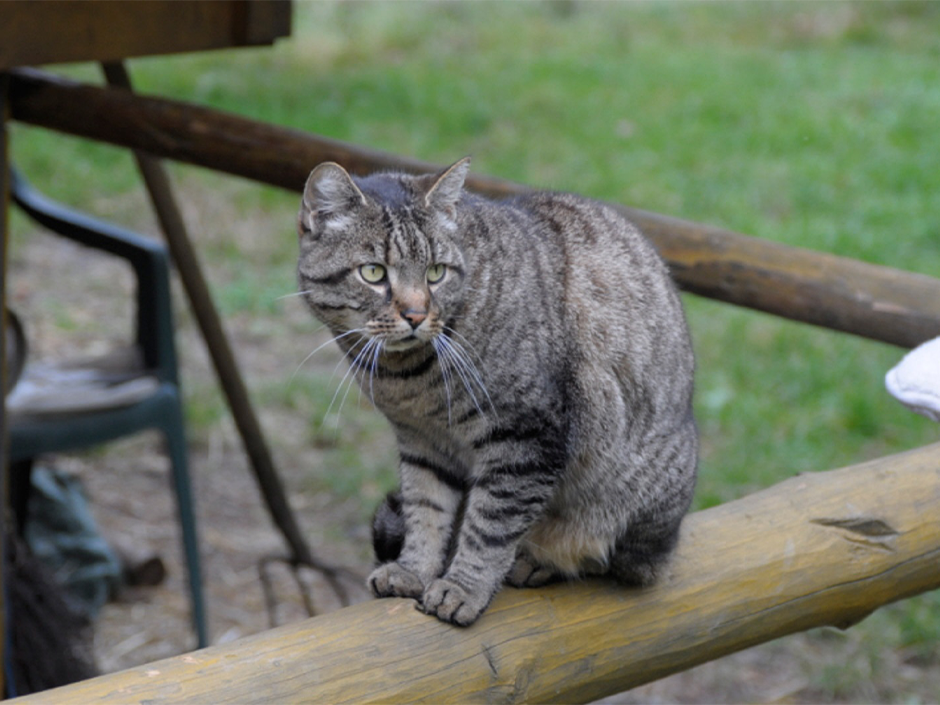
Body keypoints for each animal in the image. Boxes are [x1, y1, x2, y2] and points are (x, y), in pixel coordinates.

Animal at [296, 157, 696, 624]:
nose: (416, 315)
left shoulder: (526, 438)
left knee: (610, 561)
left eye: (435, 273)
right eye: (373, 273)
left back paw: (537, 561)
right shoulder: (422, 442)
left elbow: (489, 527)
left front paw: (462, 588)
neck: (407, 379)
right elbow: (425, 511)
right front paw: (414, 570)